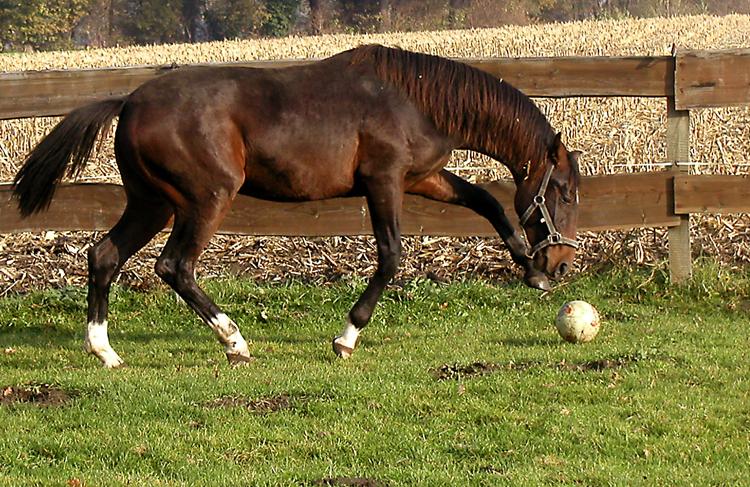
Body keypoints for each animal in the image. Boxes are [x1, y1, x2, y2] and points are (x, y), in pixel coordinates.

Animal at [13, 45, 580, 368]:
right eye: (565, 192)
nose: (561, 262)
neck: (414, 98)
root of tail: (128, 102)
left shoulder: (422, 178)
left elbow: (487, 201)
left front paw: (529, 270)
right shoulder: (385, 181)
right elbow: (391, 256)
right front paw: (346, 337)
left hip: (152, 203)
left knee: (104, 256)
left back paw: (105, 351)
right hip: (205, 199)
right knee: (175, 266)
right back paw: (235, 342)